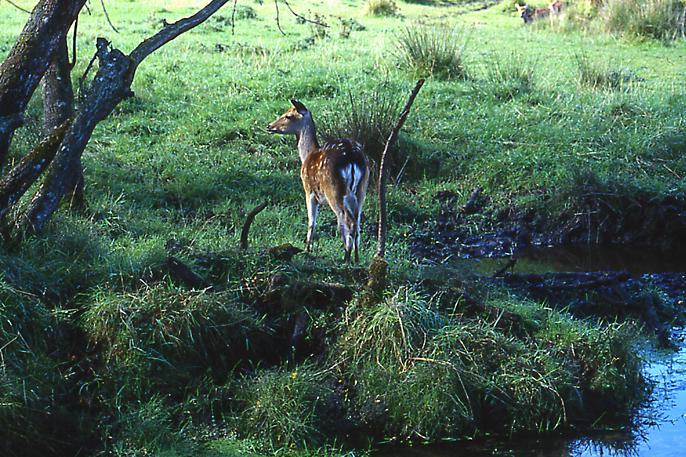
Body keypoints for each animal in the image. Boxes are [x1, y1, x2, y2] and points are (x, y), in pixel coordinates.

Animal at [268, 100, 370, 264]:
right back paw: (356, 257)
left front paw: (307, 250)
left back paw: (346, 257)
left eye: (288, 115)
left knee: (347, 221)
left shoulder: (308, 191)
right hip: (361, 190)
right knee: (357, 222)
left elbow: (312, 222)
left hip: (333, 190)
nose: (269, 126)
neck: (307, 154)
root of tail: (353, 159)